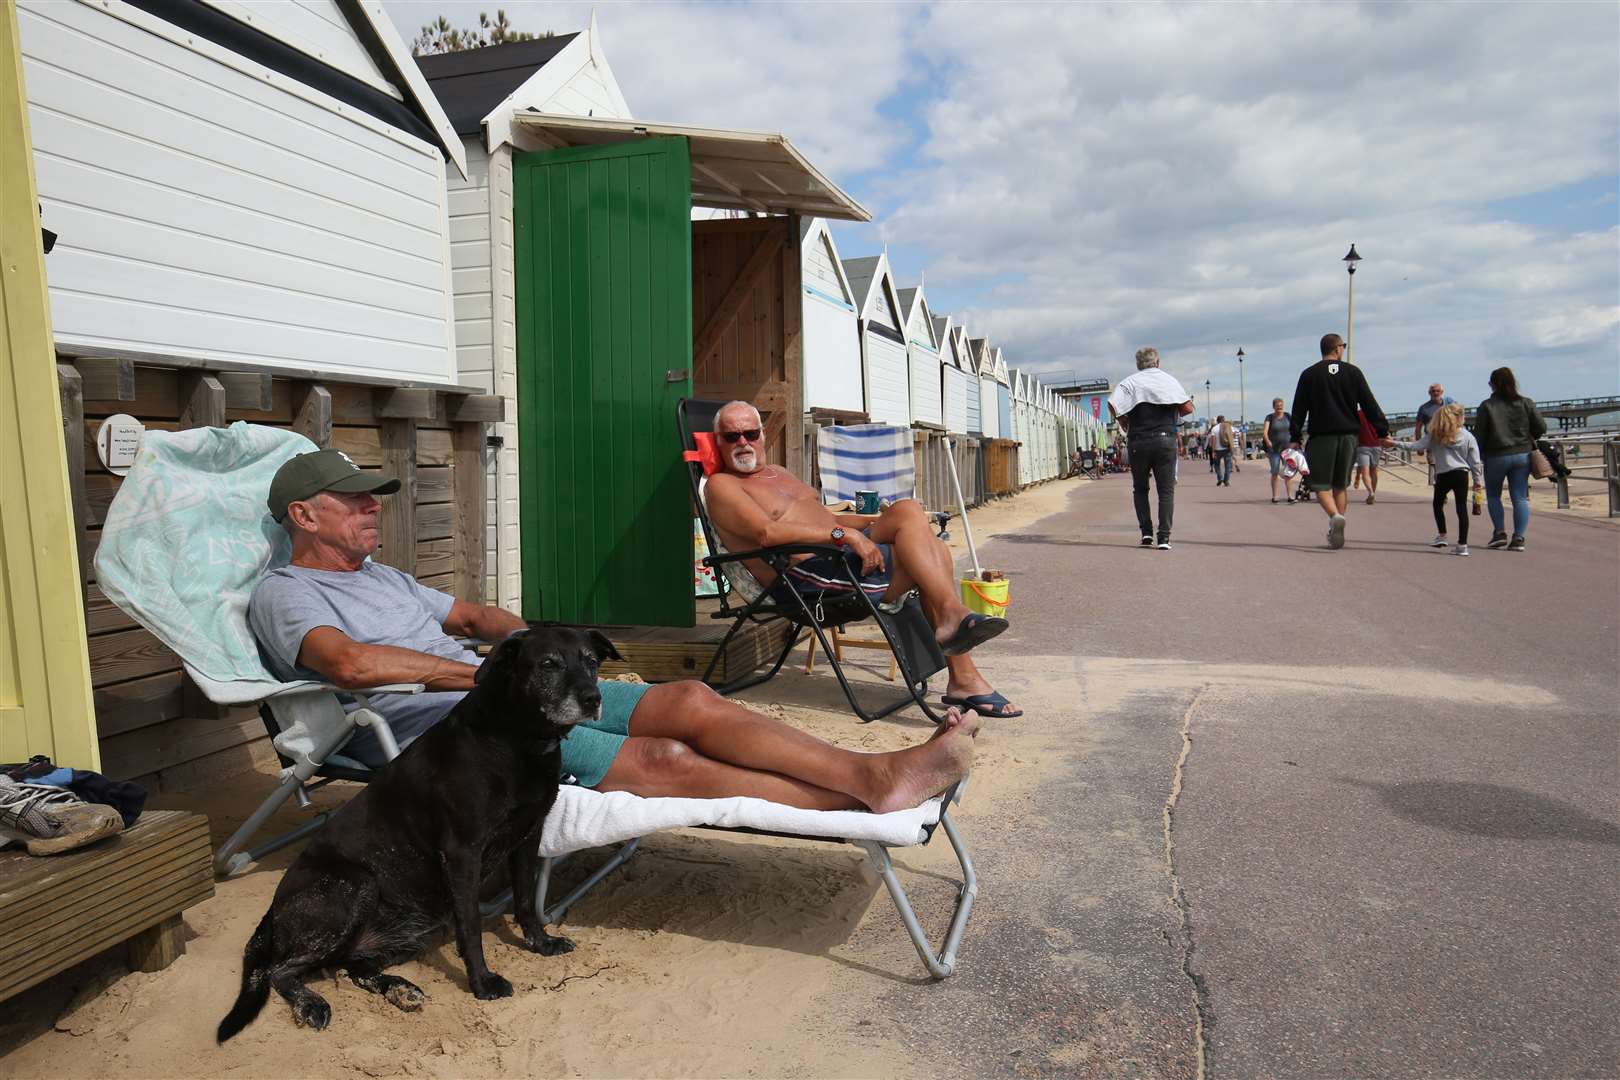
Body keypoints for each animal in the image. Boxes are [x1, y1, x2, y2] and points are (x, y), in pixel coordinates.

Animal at [217, 625, 618, 1036]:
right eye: (548, 664)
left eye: (591, 661)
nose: (593, 698)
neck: (515, 738)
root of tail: (272, 912)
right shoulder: (462, 852)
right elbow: (471, 926)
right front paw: (482, 982)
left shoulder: (528, 837)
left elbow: (524, 901)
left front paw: (540, 943)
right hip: (355, 886)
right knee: (279, 970)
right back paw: (311, 1003)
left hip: (407, 929)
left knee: (353, 967)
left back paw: (400, 989)